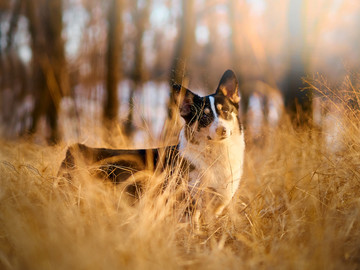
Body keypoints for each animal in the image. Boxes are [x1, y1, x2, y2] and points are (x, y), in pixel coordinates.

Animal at [58, 70, 245, 221]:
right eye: (204, 117)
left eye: (226, 111)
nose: (222, 130)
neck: (216, 153)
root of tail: (74, 149)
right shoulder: (188, 203)